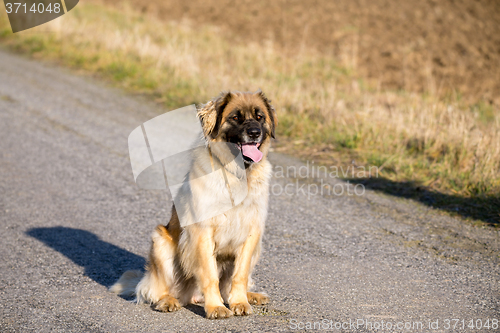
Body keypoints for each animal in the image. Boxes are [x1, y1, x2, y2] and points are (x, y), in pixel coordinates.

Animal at [110, 89, 280, 318]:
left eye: (260, 117)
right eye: (236, 117)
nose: (254, 133)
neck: (236, 174)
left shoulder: (252, 232)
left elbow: (240, 275)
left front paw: (239, 302)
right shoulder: (202, 231)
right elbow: (209, 274)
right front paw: (216, 307)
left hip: (257, 249)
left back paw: (251, 295)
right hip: (160, 242)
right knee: (155, 290)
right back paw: (167, 301)